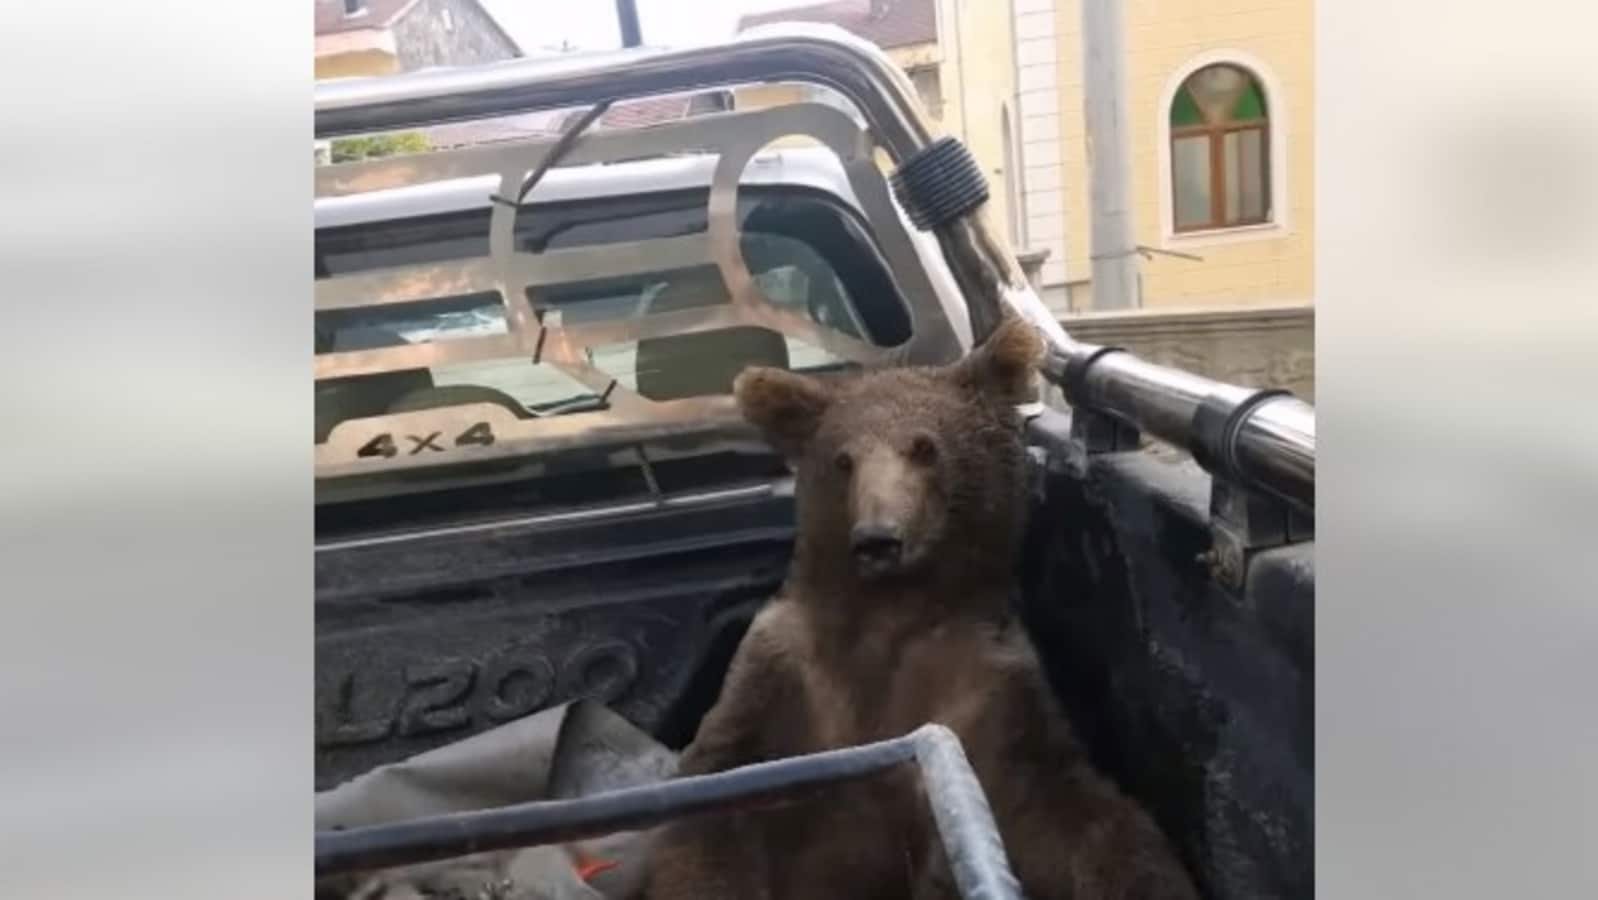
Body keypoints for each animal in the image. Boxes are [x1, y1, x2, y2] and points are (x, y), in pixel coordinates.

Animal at [642, 315, 1200, 900]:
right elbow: (711, 806)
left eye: (925, 447)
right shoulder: (782, 682)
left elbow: (1079, 816)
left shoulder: (989, 697)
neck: (892, 614)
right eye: (843, 459)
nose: (878, 538)